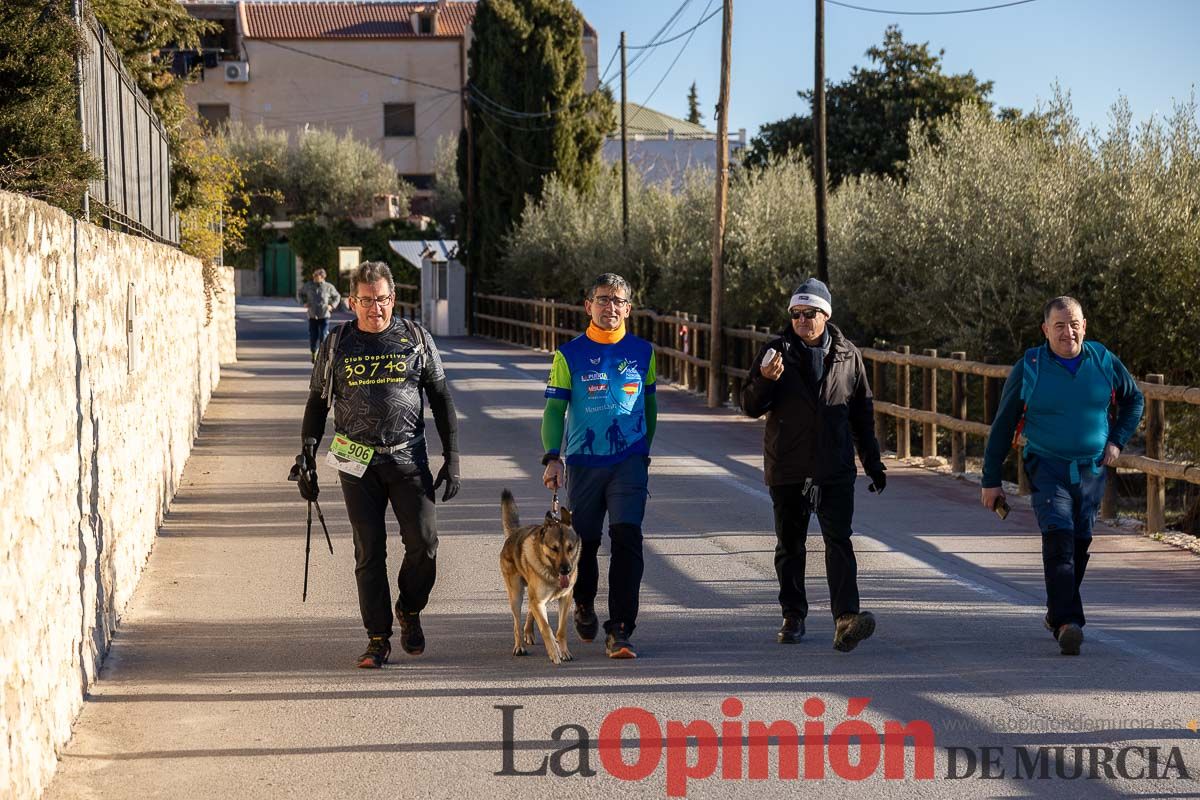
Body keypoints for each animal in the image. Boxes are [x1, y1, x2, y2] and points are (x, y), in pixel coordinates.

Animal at [496, 491, 580, 666]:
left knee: (530, 609)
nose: (566, 570)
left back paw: (529, 632)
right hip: (516, 595)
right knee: (517, 623)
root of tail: (514, 534)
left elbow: (561, 629)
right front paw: (554, 652)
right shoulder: (539, 601)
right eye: (554, 548)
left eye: (570, 548)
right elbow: (546, 628)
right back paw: (519, 646)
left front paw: (563, 651)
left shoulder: (565, 598)